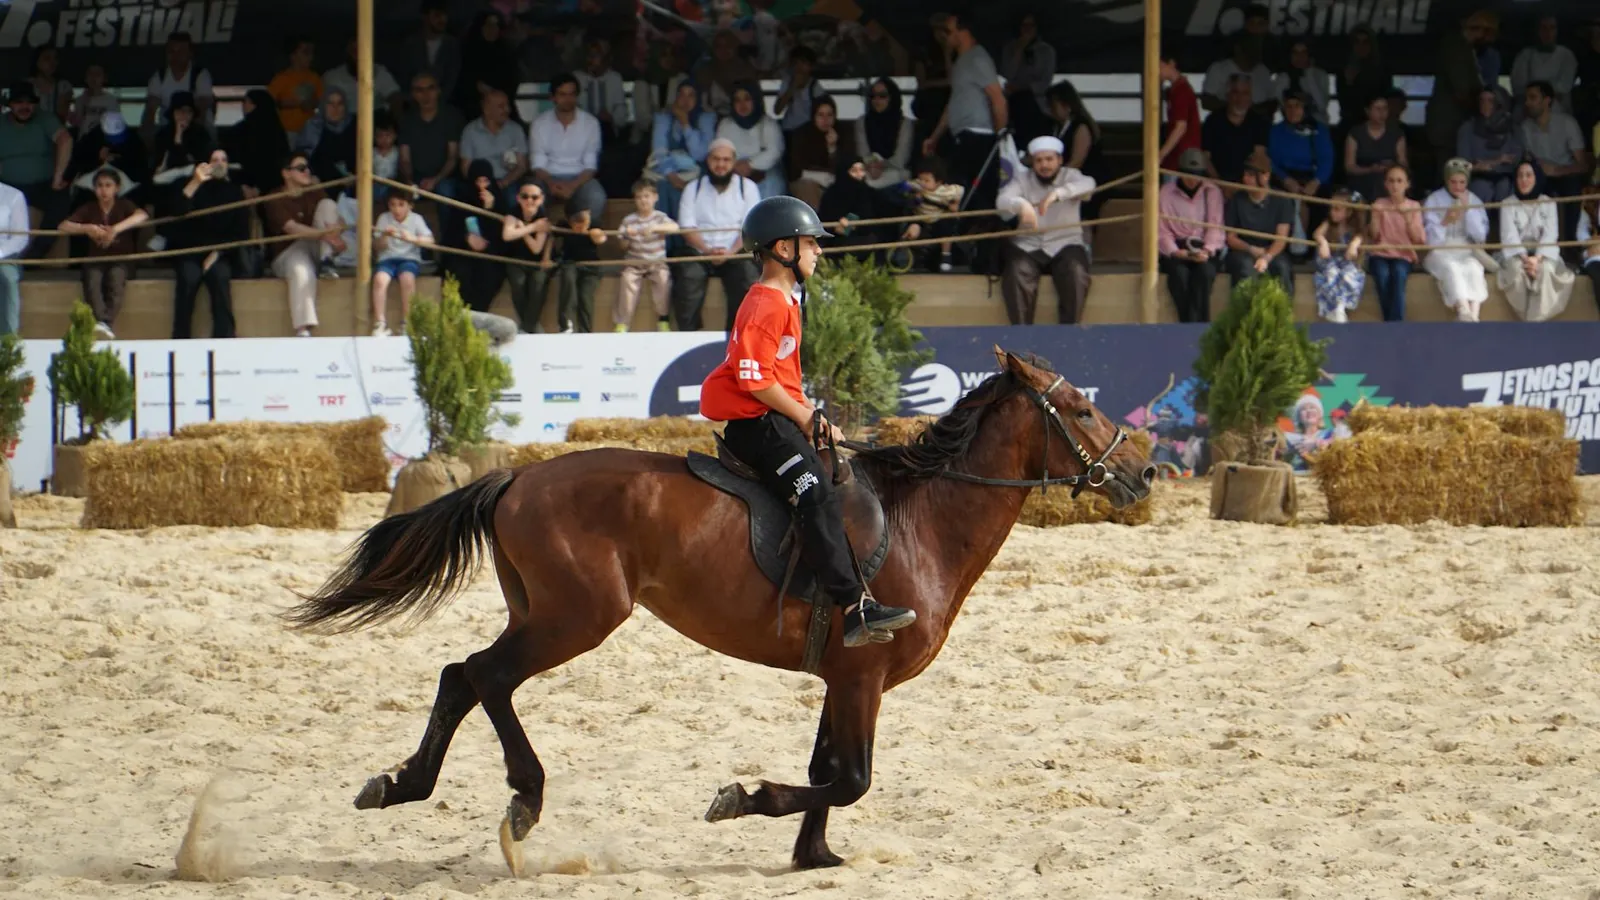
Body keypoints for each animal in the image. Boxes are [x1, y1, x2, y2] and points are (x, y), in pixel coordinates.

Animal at [285, 347, 1156, 876]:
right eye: (1081, 410)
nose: (1144, 473)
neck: (922, 520)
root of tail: (517, 476)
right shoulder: (863, 676)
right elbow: (852, 780)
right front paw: (744, 799)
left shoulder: (841, 679)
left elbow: (828, 772)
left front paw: (813, 858)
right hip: (576, 619)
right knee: (483, 676)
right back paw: (519, 799)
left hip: (540, 613)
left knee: (461, 677)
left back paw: (402, 783)